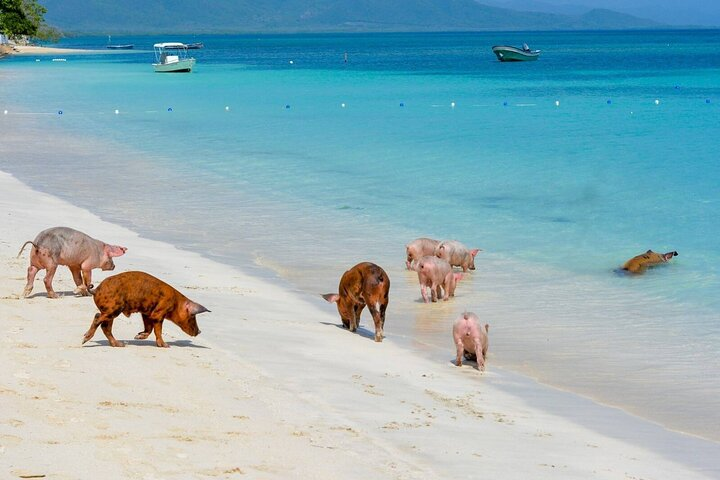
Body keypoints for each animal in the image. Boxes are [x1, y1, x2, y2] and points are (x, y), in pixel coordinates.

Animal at [83, 272, 211, 346]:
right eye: (193, 316)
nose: (199, 331)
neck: (176, 303)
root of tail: (96, 290)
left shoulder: (147, 313)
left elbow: (149, 328)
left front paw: (138, 336)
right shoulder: (159, 314)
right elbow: (158, 330)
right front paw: (165, 346)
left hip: (111, 312)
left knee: (105, 327)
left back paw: (119, 344)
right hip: (113, 309)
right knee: (97, 318)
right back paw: (84, 339)